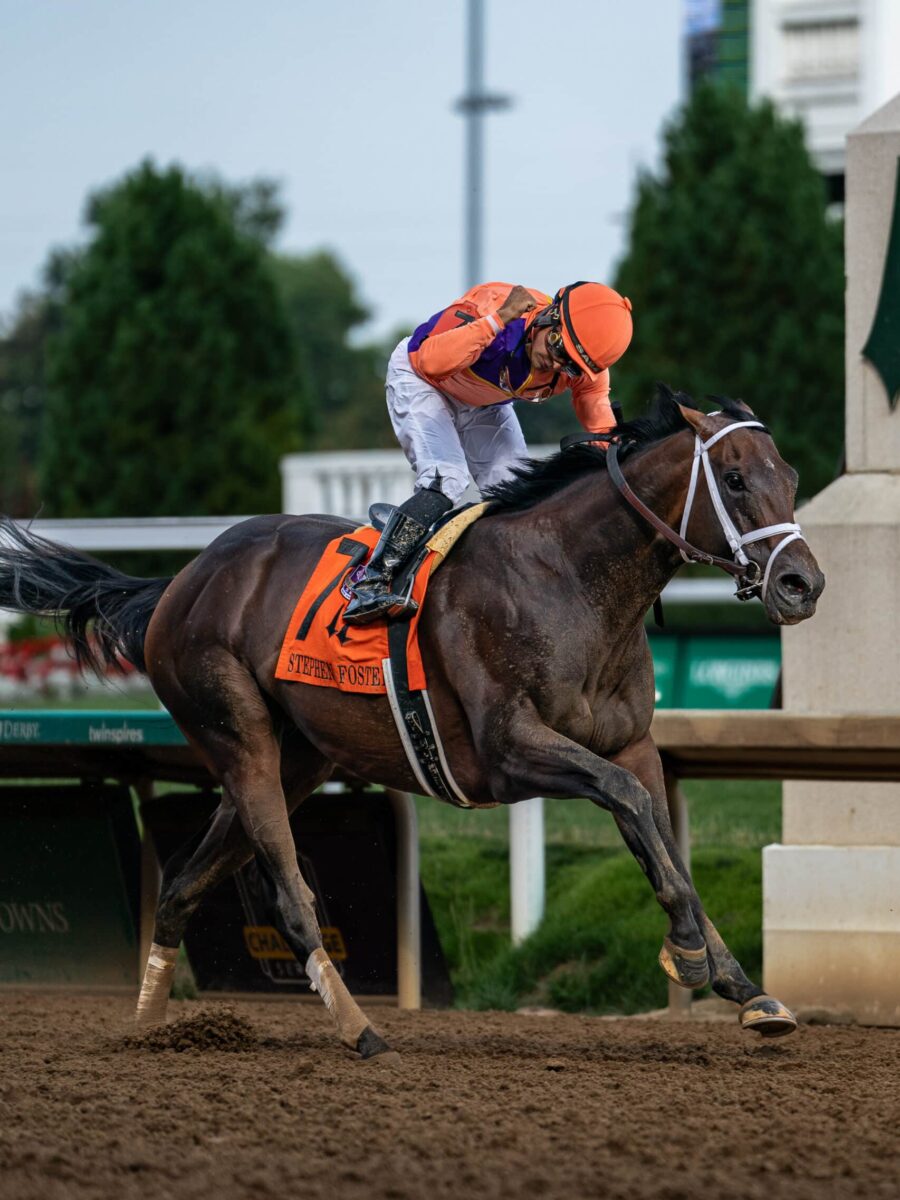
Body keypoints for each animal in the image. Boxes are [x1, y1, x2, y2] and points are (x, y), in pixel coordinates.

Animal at [0, 388, 825, 1056]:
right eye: (735, 479)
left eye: (790, 478)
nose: (801, 583)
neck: (570, 581)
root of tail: (179, 581)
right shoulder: (509, 752)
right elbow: (629, 802)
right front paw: (689, 953)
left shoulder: (635, 744)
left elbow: (658, 832)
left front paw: (746, 988)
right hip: (241, 741)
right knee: (288, 896)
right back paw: (359, 1030)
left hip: (298, 761)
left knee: (179, 884)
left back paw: (145, 1029)